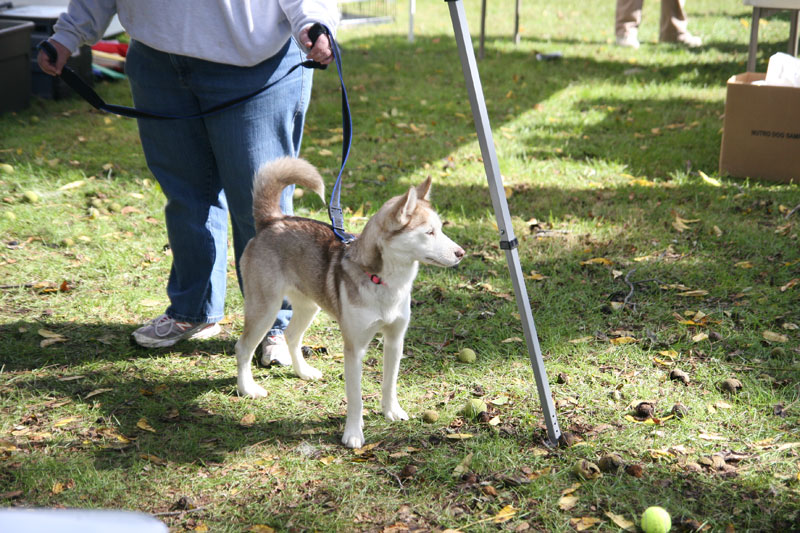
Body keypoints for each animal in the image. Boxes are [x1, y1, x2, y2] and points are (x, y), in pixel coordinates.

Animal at [234, 157, 466, 444]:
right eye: (429, 232)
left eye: (441, 229)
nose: (461, 253)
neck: (384, 281)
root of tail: (273, 220)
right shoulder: (354, 349)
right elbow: (355, 398)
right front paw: (353, 434)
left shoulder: (395, 340)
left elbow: (390, 383)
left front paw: (391, 411)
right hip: (264, 309)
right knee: (243, 347)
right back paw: (247, 388)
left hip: (308, 307)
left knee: (291, 335)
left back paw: (303, 372)